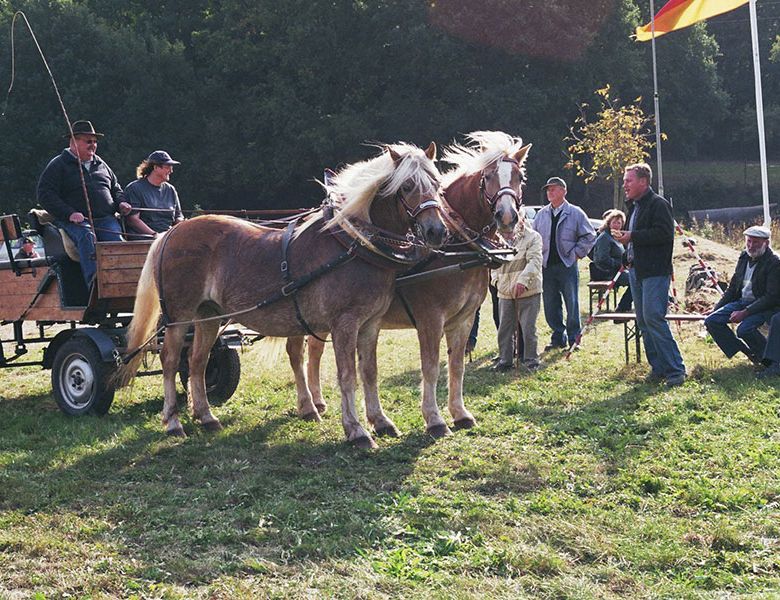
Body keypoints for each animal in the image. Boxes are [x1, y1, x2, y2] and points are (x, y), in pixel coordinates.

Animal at [115, 143, 444, 448]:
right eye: (407, 186)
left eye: (437, 183)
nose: (436, 231)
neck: (354, 244)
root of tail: (171, 232)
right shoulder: (344, 324)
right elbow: (347, 375)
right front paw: (356, 430)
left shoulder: (371, 324)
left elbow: (369, 371)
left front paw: (380, 421)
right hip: (178, 316)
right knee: (171, 361)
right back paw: (173, 422)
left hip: (208, 315)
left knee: (197, 361)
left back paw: (207, 417)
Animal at [290, 132, 532, 436]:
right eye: (487, 177)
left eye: (519, 177)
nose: (507, 216)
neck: (456, 244)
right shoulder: (430, 318)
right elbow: (430, 367)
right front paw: (435, 419)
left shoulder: (463, 319)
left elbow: (456, 366)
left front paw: (460, 413)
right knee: (297, 354)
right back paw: (308, 406)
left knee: (315, 350)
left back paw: (319, 401)